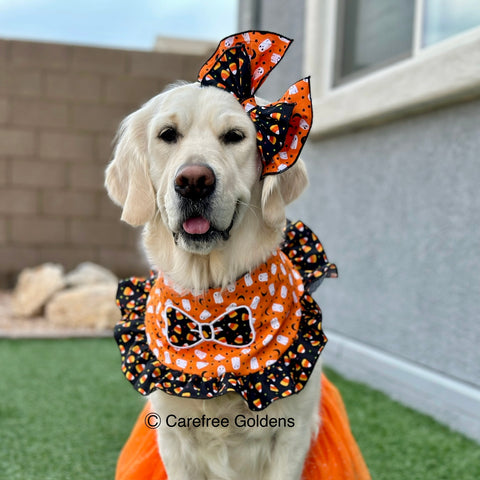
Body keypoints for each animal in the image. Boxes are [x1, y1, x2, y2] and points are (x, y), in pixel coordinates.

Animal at [106, 80, 322, 478]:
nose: (194, 181)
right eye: (168, 134)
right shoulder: (172, 437)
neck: (211, 300)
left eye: (235, 136)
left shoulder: (292, 434)